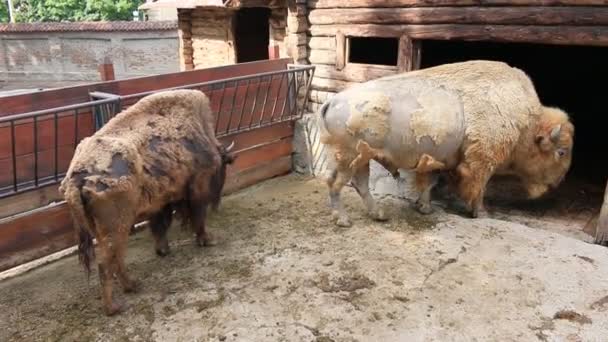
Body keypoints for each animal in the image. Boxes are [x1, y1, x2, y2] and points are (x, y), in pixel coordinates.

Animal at [58, 88, 235, 316]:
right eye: (222, 166)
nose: (218, 202)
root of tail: (77, 179)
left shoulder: (159, 204)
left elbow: (159, 226)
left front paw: (163, 250)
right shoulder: (196, 188)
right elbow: (197, 217)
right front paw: (207, 240)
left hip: (102, 229)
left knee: (116, 259)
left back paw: (132, 286)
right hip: (118, 226)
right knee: (107, 263)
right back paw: (115, 305)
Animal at [318, 60, 576, 227]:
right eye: (561, 152)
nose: (559, 181)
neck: (526, 123)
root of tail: (333, 100)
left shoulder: (438, 159)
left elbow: (429, 183)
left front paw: (424, 208)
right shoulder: (482, 162)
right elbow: (478, 188)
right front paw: (481, 213)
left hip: (362, 157)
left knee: (359, 184)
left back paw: (378, 214)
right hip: (349, 158)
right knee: (336, 184)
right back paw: (344, 220)